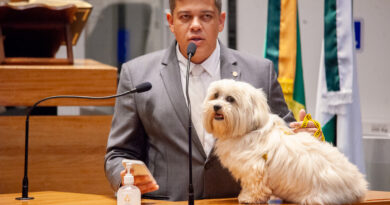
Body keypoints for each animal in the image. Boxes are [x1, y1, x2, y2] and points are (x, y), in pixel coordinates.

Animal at [203, 79, 368, 204]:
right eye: (215, 95)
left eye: (230, 99)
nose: (216, 106)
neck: (248, 130)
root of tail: (357, 186)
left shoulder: (254, 169)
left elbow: (254, 186)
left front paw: (248, 197)